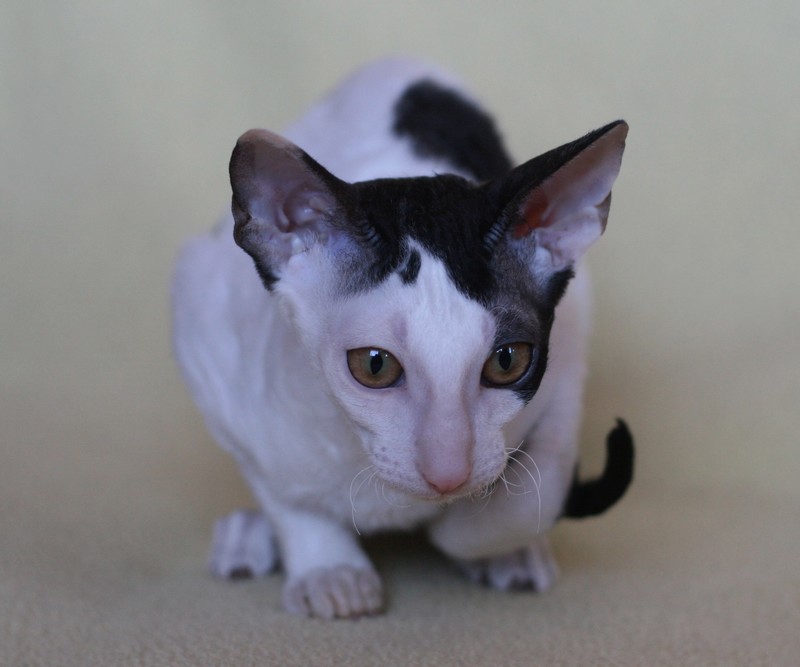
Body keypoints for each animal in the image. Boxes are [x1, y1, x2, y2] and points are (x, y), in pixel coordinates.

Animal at [171, 58, 633, 619]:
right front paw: (331, 570)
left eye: (508, 360)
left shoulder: (570, 352)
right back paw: (247, 537)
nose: (448, 474)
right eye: (374, 365)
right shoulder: (209, 342)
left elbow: (527, 499)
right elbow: (285, 493)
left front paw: (477, 527)